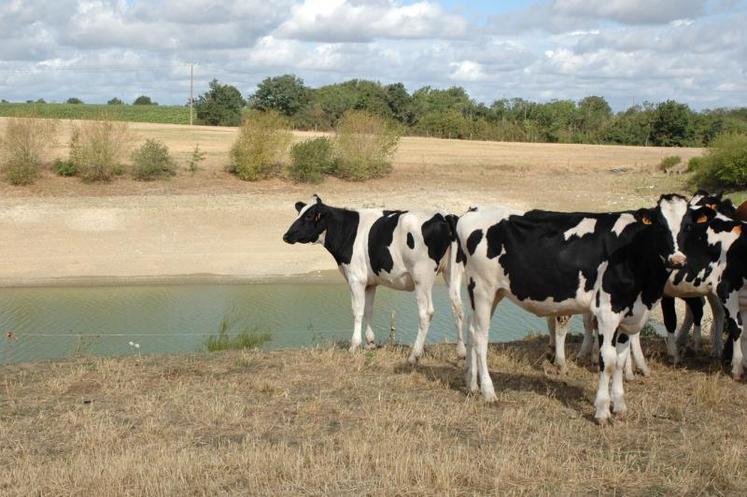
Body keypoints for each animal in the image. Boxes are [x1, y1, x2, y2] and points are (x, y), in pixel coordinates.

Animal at [282, 196, 464, 362]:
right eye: (300, 212)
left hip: (422, 276)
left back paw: (414, 355)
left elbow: (357, 310)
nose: (286, 235)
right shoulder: (370, 283)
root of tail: (443, 215)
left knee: (426, 313)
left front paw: (354, 345)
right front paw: (370, 343)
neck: (348, 231)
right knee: (457, 307)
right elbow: (369, 309)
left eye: (309, 216)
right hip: (452, 272)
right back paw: (461, 352)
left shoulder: (356, 279)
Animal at [456, 196, 708, 424]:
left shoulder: (628, 315)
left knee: (472, 331)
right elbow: (608, 360)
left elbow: (620, 359)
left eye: (687, 226)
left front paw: (620, 405)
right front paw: (602, 410)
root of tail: (473, 210)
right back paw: (488, 391)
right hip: (483, 290)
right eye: (660, 225)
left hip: (488, 294)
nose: (677, 260)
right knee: (481, 338)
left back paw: (471, 384)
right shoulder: (607, 311)